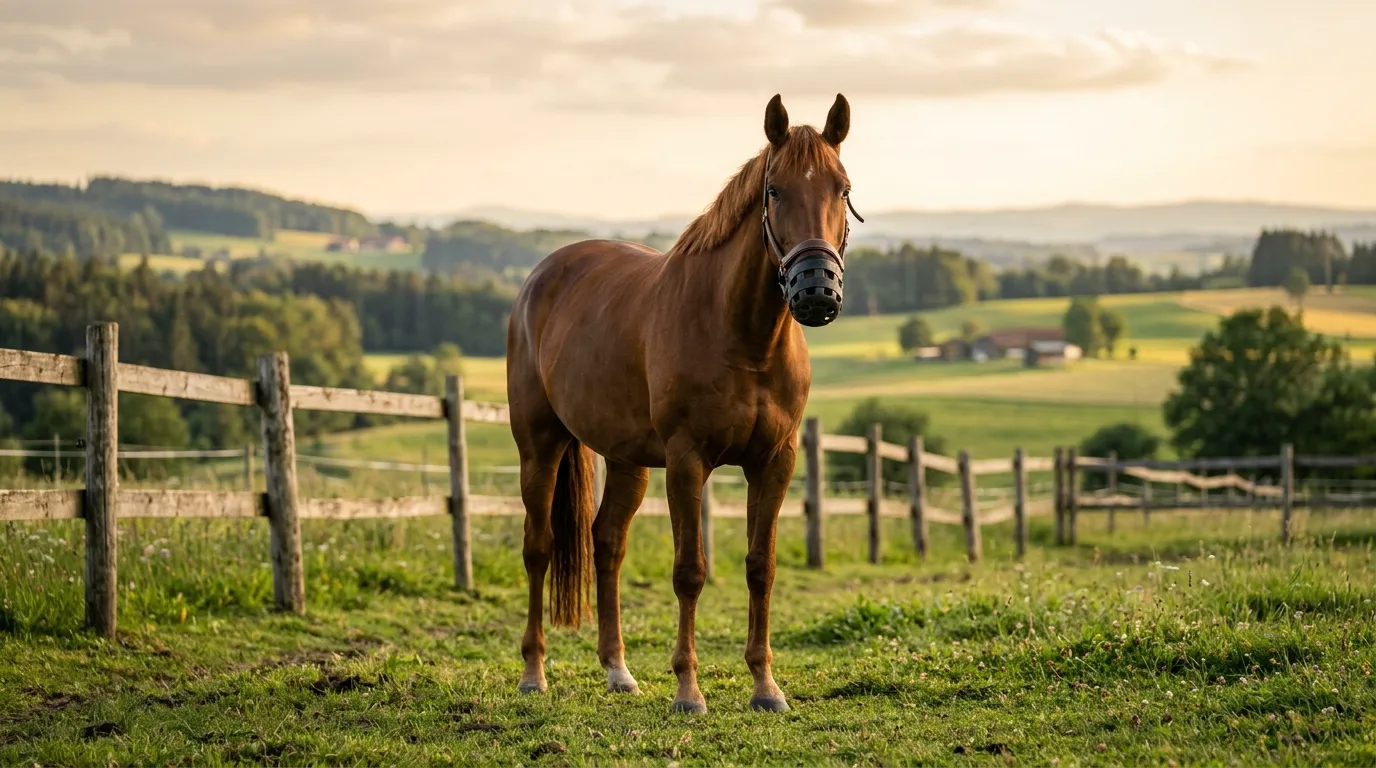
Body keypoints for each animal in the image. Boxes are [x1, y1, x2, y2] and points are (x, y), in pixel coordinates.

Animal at [505, 93, 860, 714]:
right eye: (774, 190)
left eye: (841, 188)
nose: (816, 289)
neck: (741, 335)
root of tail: (540, 278)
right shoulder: (688, 461)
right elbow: (689, 571)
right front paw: (688, 691)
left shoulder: (775, 461)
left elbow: (761, 567)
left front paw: (765, 686)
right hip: (540, 448)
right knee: (539, 547)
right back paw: (534, 673)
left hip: (627, 461)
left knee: (607, 545)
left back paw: (618, 670)